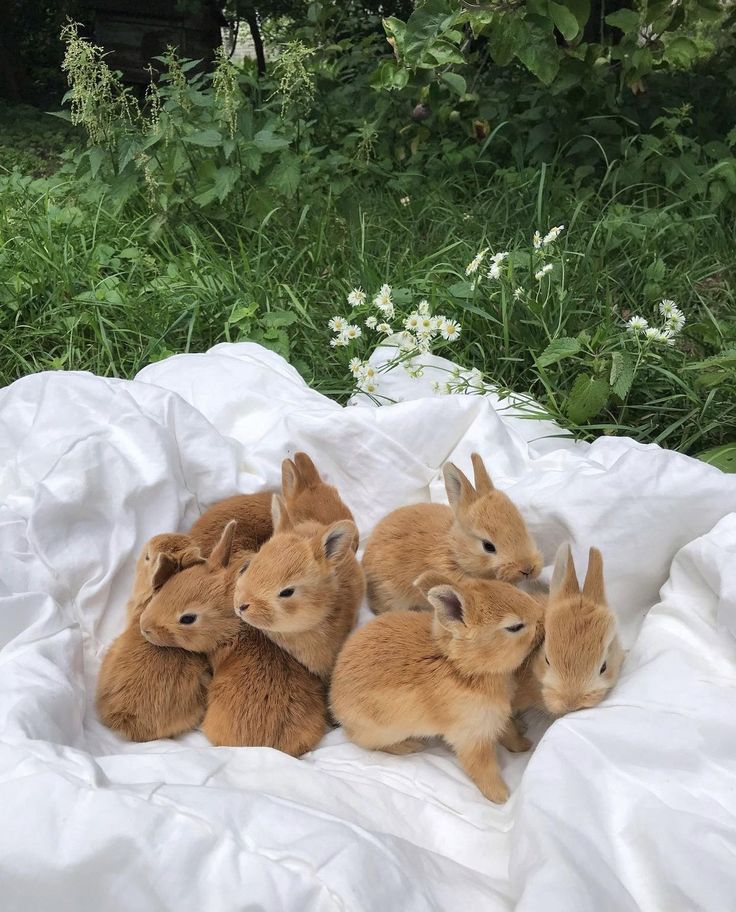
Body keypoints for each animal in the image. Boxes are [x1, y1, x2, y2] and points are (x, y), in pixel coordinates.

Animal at [330, 572, 544, 800]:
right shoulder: (471, 735)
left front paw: (524, 745)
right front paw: (500, 795)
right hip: (383, 730)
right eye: (514, 627)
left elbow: (509, 732)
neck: (462, 666)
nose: (541, 617)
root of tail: (335, 705)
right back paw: (409, 746)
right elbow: (482, 766)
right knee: (362, 741)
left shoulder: (494, 719)